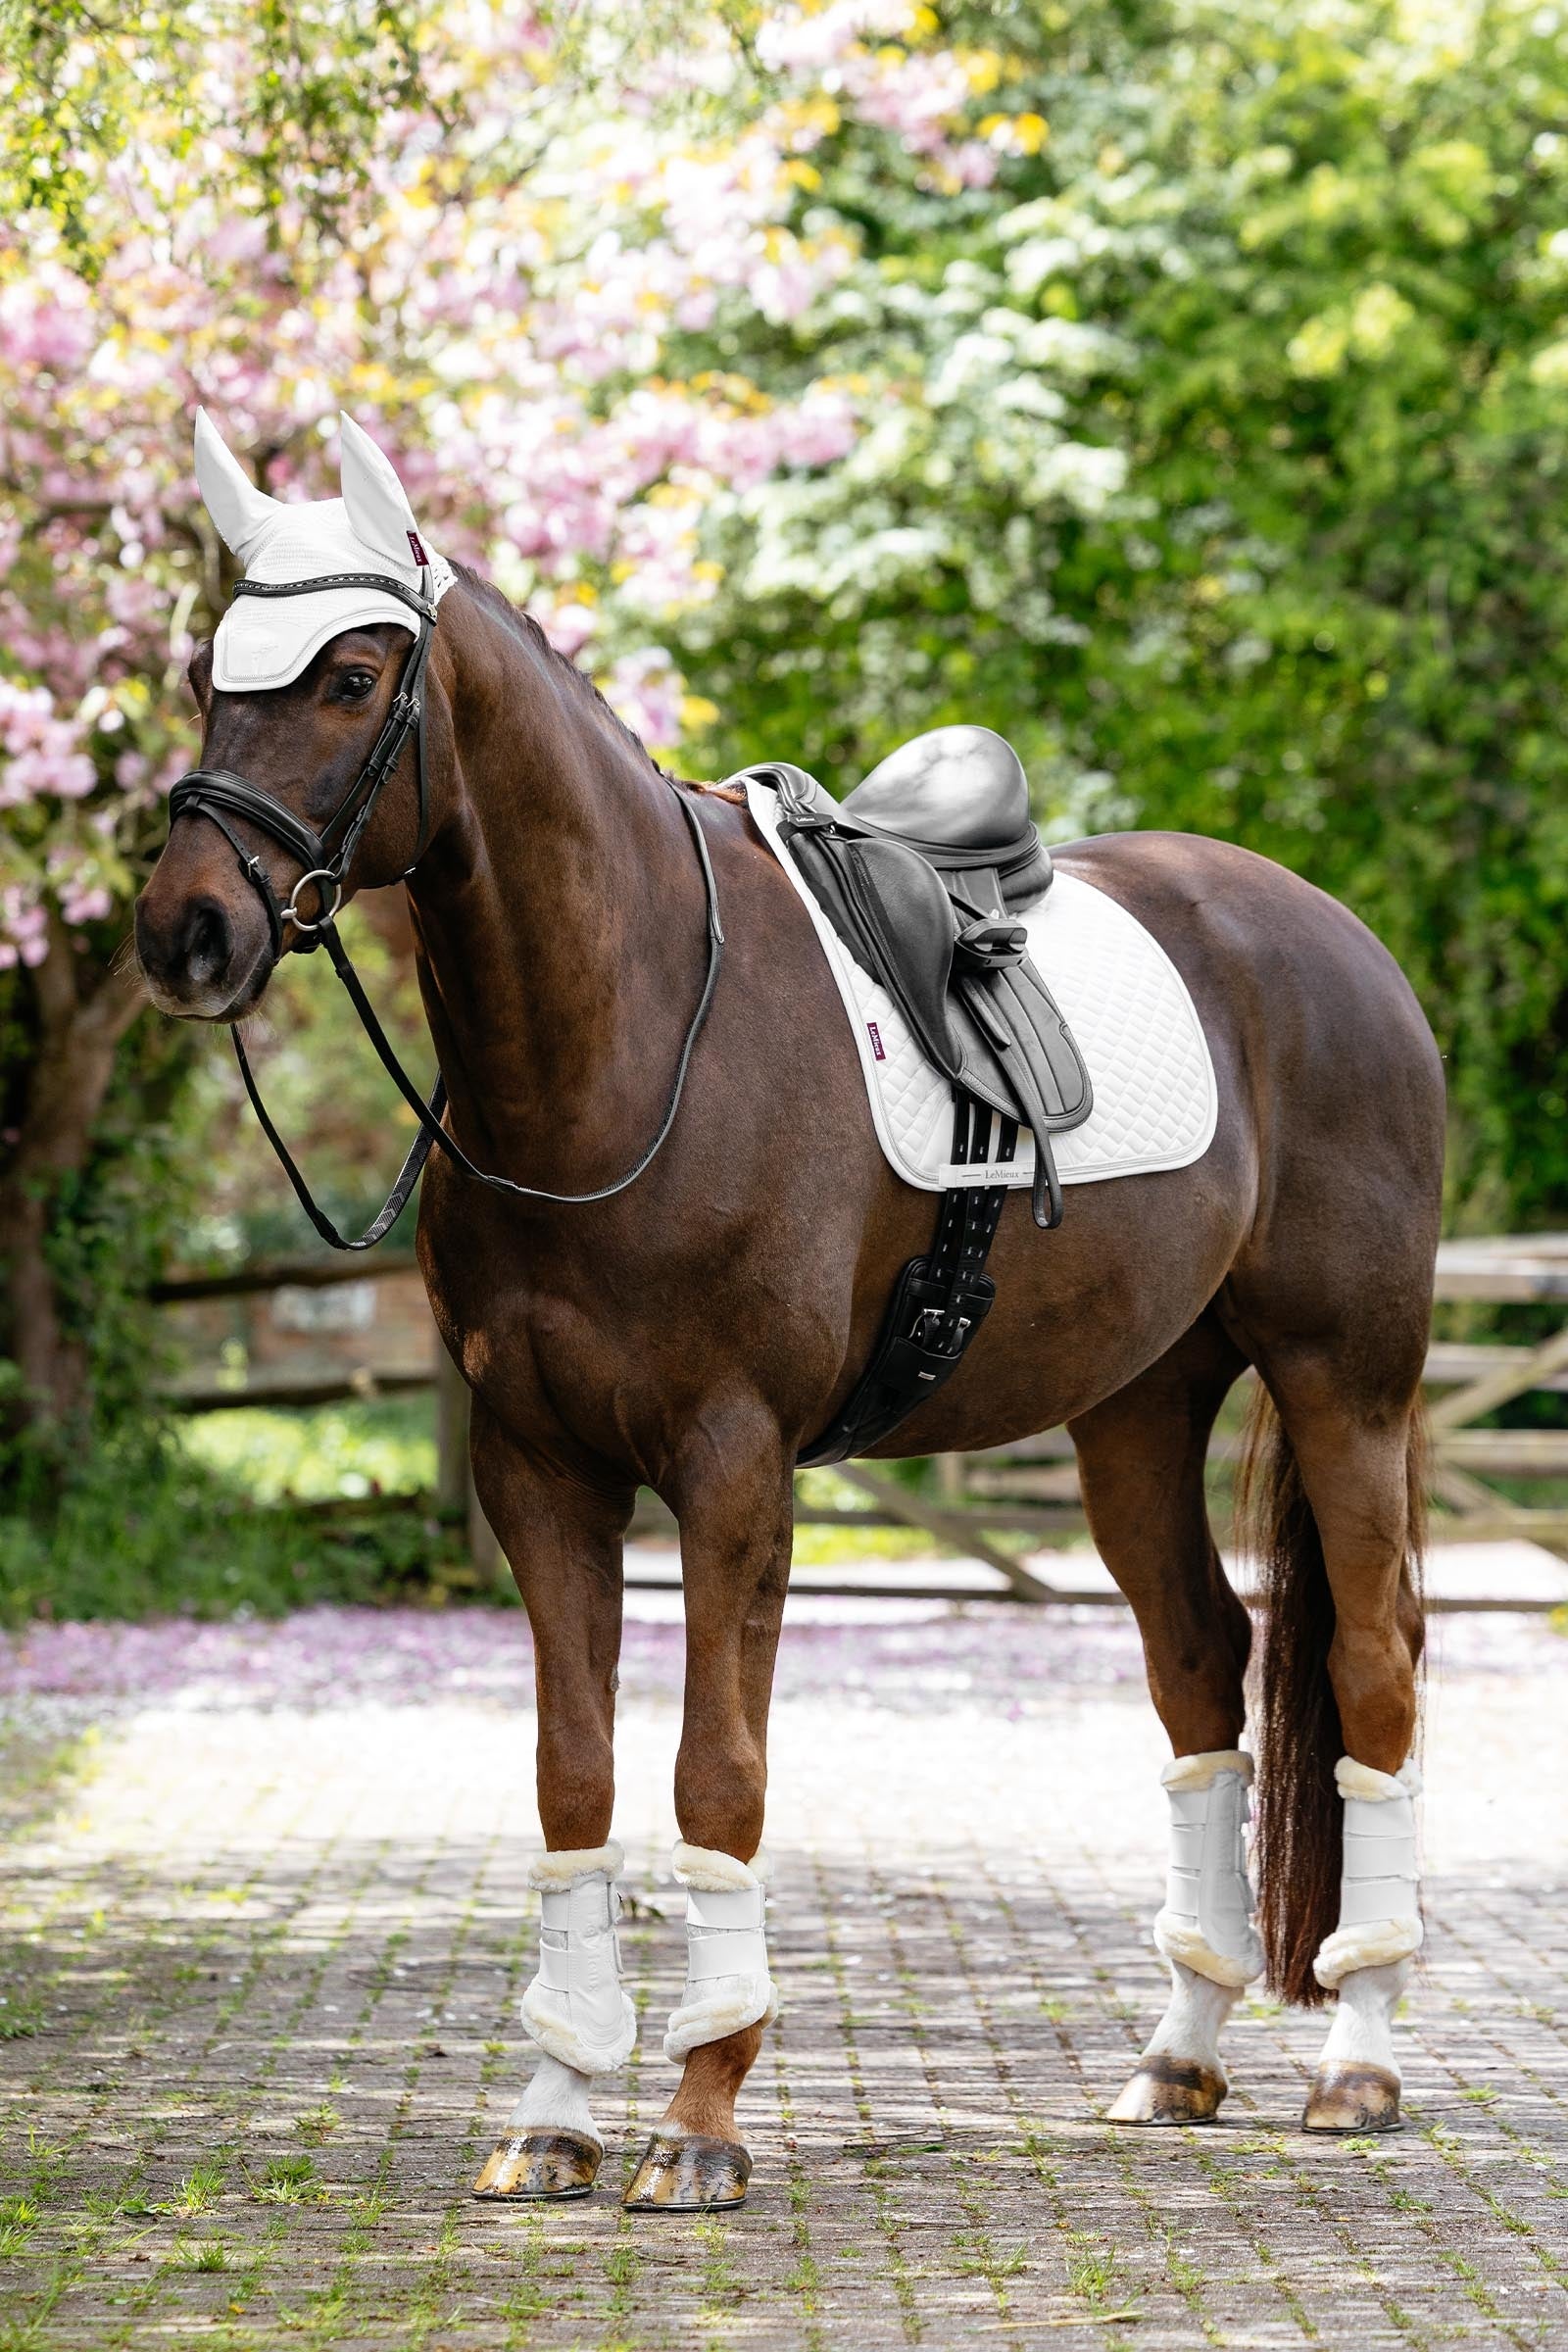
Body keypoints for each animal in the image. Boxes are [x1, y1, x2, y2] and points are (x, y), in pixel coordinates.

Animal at [134, 416, 1443, 2211]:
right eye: (211, 677)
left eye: (347, 676)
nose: (185, 931)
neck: (626, 1045)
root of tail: (1333, 939)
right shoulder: (540, 1470)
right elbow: (574, 1777)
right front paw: (556, 2111)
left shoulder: (733, 1467)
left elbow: (716, 1775)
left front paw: (698, 2119)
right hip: (1137, 1406)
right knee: (1202, 1669)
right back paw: (1176, 2057)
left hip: (1343, 1380)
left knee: (1375, 1666)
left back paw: (1359, 2064)